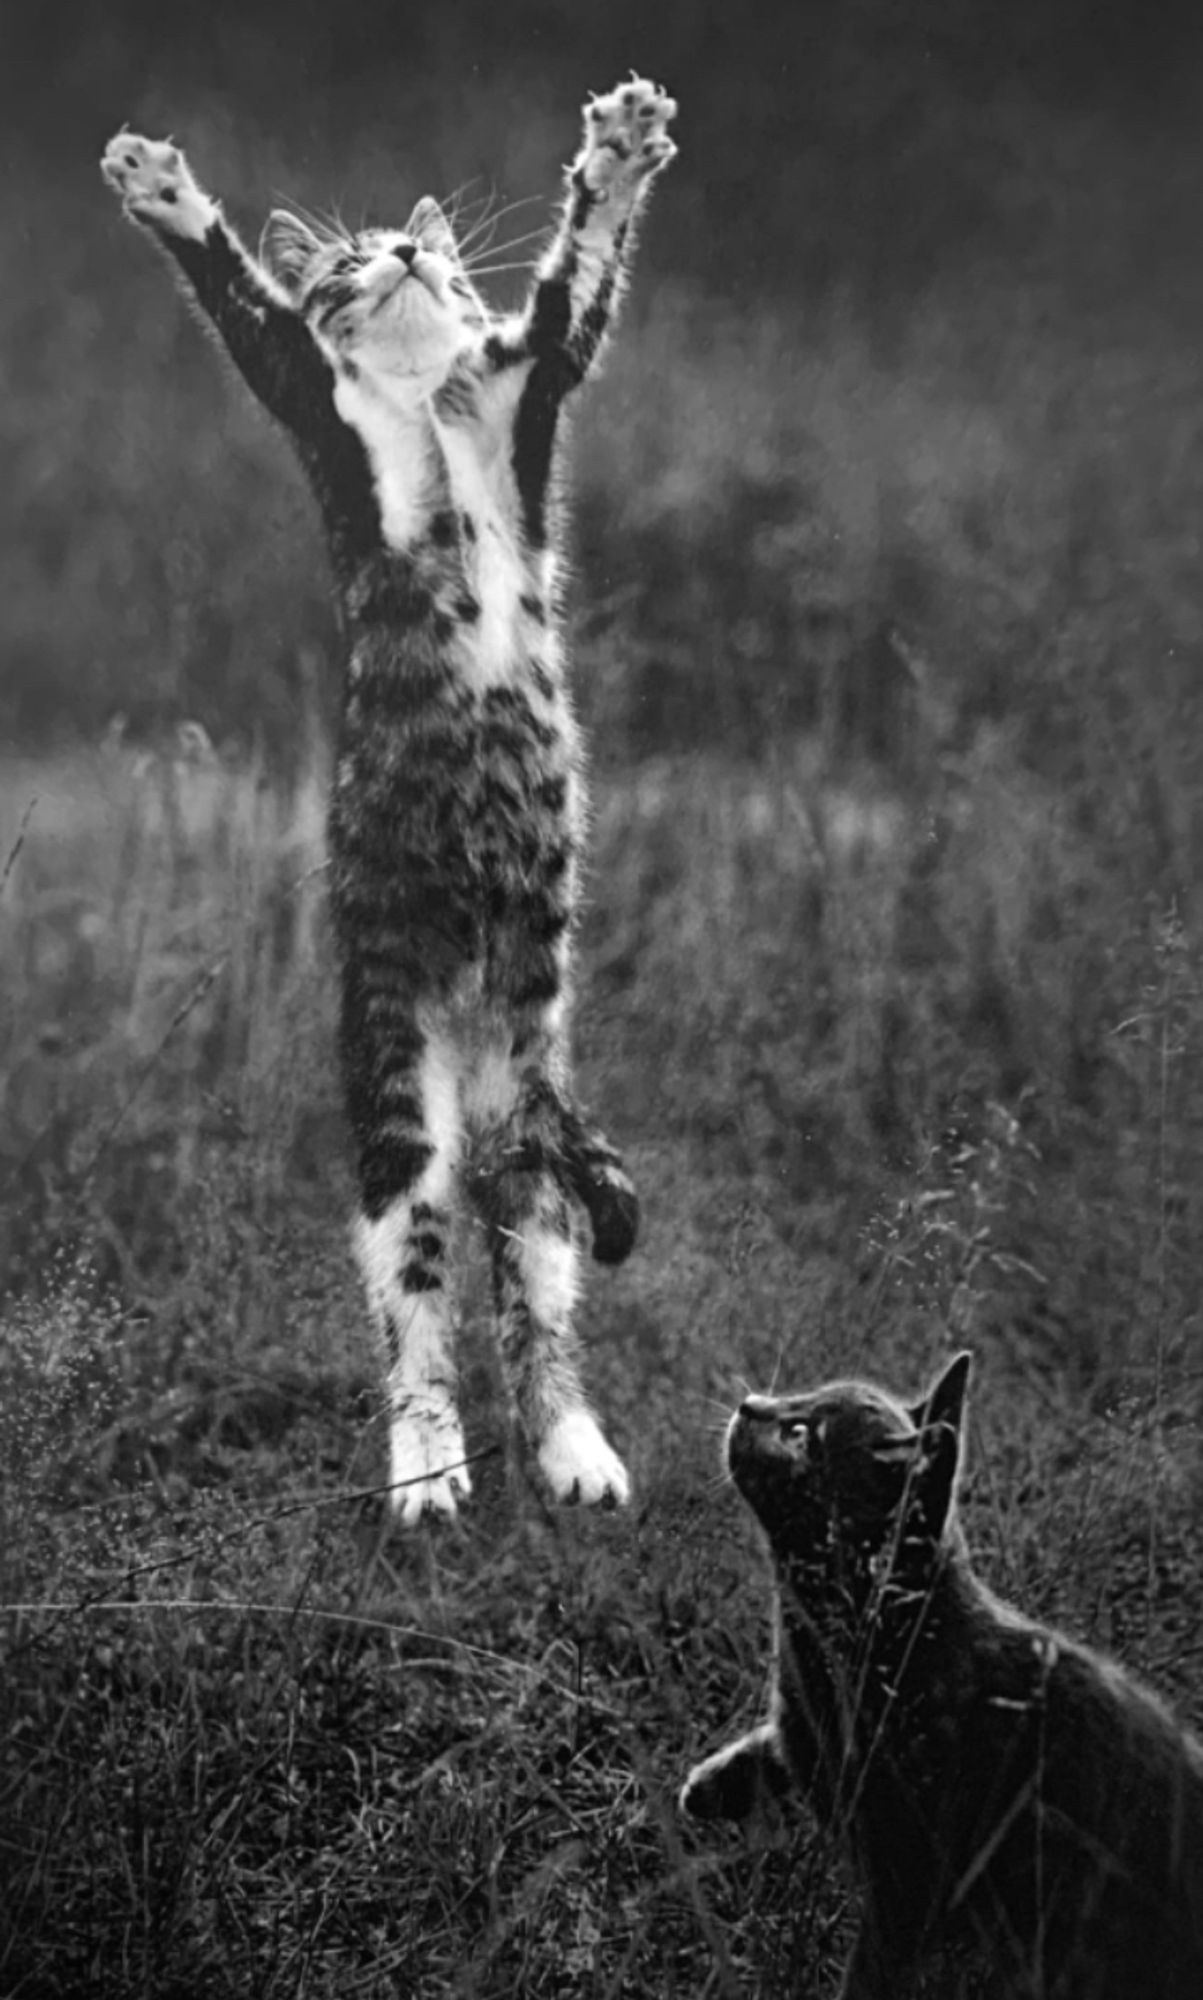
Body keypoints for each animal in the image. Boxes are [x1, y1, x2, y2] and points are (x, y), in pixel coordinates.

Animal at [101, 74, 675, 1512]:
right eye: (348, 256)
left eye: (429, 249)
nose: (410, 249)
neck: (423, 397)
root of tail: (472, 1052)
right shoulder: (306, 393)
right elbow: (241, 298)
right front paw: (159, 187)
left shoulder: (535, 380)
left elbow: (581, 273)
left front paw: (620, 148)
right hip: (393, 1096)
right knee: (413, 1303)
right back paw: (425, 1470)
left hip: (529, 1122)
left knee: (535, 1301)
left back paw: (573, 1451)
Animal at [679, 1352, 1199, 1992]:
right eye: (796, 1399)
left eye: (801, 1435)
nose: (751, 1403)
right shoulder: (802, 1720)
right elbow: (778, 1743)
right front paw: (708, 1785)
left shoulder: (906, 1882)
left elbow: (871, 1972)